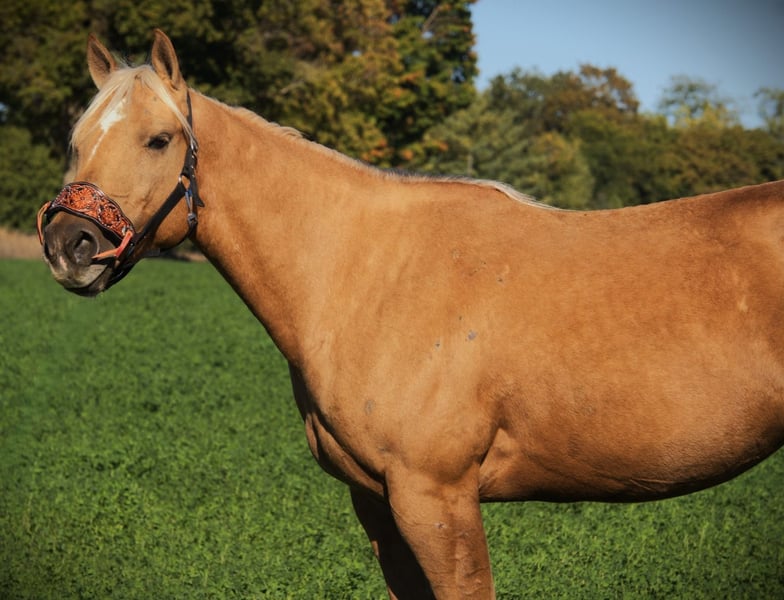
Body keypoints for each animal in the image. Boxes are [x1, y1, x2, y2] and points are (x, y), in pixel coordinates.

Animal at [39, 30, 784, 599]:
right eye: (76, 141)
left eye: (159, 140)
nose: (71, 245)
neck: (366, 273)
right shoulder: (377, 503)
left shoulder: (437, 500)